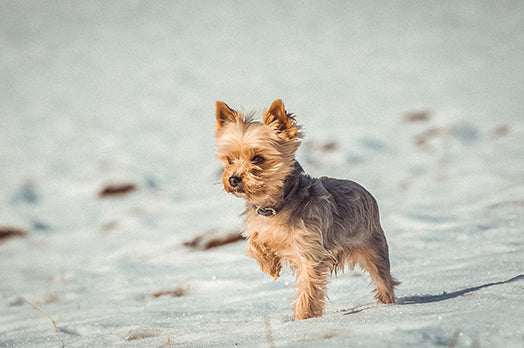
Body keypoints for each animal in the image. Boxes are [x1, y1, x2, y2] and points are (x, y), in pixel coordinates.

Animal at [215, 99, 400, 320]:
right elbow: (254, 243)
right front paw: (271, 266)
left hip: (374, 248)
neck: (276, 207)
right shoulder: (260, 229)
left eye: (258, 158)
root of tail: (366, 192)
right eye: (229, 160)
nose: (233, 179)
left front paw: (303, 319)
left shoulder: (311, 254)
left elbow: (308, 289)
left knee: (383, 280)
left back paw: (387, 305)